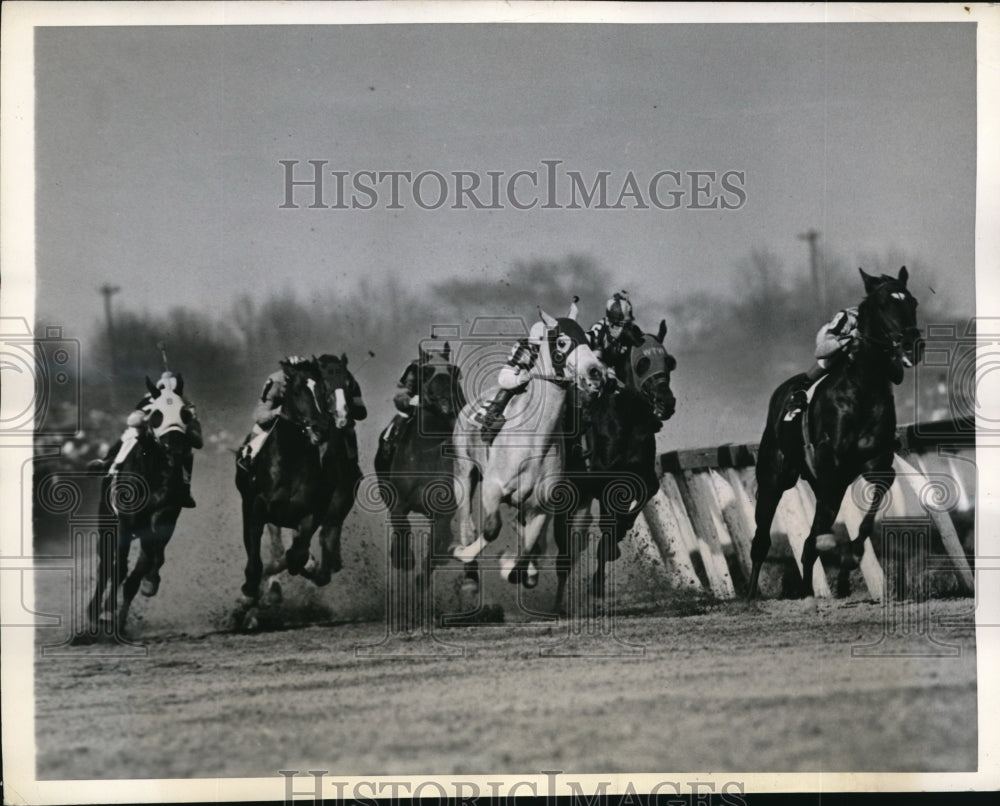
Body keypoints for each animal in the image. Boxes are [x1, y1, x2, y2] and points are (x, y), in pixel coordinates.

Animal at [76, 374, 201, 644]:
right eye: (157, 415)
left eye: (184, 413)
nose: (176, 448)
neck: (151, 470)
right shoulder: (124, 521)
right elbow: (118, 567)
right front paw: (105, 613)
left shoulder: (165, 515)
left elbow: (150, 559)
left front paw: (149, 584)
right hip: (106, 523)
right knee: (107, 565)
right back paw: (95, 614)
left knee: (138, 567)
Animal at [452, 304, 604, 592]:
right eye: (562, 341)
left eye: (588, 341)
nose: (596, 373)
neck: (534, 442)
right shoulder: (492, 488)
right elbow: (492, 529)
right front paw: (463, 555)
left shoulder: (540, 507)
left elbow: (527, 549)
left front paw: (516, 568)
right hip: (464, 472)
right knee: (466, 522)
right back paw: (467, 573)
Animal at [552, 318, 676, 616]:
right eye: (643, 363)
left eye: (669, 362)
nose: (666, 403)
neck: (627, 419)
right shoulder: (604, 482)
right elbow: (607, 526)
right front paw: (598, 581)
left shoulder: (641, 479)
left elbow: (625, 517)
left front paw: (613, 549)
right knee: (564, 553)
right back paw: (558, 603)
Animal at [748, 268, 924, 604]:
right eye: (884, 304)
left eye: (913, 302)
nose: (911, 345)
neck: (863, 387)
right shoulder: (830, 462)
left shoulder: (874, 461)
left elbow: (872, 507)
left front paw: (850, 560)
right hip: (774, 478)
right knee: (762, 539)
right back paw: (751, 593)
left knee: (808, 542)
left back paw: (810, 588)